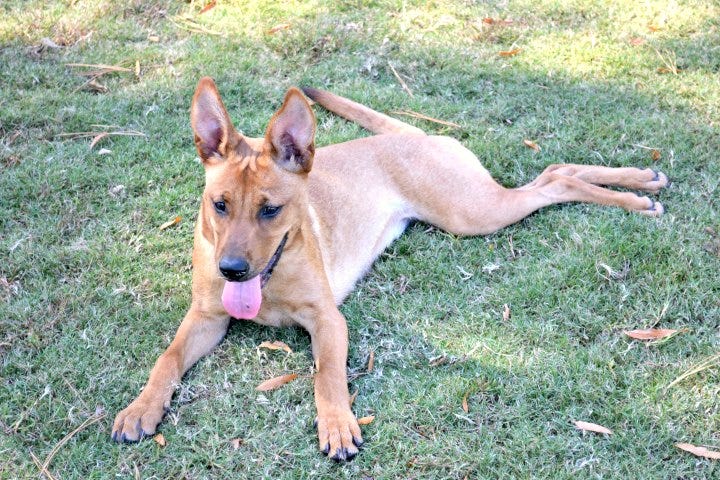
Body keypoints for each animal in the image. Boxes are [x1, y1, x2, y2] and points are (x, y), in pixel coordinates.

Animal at [112, 77, 668, 460]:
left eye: (270, 210)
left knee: (554, 181)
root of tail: (413, 133)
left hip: (471, 213)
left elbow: (327, 375)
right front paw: (141, 408)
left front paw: (336, 423)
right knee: (555, 172)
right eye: (219, 205)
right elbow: (167, 359)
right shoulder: (206, 318)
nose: (231, 270)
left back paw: (636, 195)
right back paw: (642, 181)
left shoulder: (328, 321)